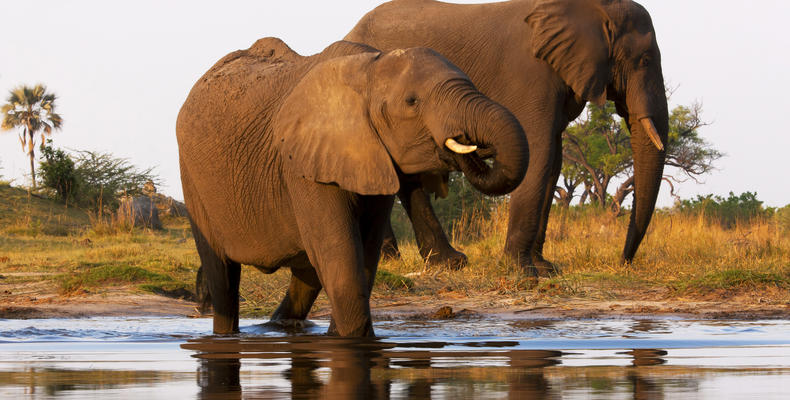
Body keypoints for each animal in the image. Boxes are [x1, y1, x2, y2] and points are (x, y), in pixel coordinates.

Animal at [176, 39, 528, 336]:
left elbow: (363, 255)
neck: (369, 68)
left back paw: (279, 328)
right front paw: (353, 341)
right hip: (192, 179)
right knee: (222, 276)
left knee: (306, 277)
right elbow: (340, 257)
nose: (468, 147)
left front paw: (341, 338)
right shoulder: (304, 165)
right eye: (412, 102)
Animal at [346, 0, 668, 274]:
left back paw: (393, 258)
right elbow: (539, 151)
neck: (593, 8)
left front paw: (545, 269)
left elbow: (553, 161)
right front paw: (522, 271)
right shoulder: (532, 75)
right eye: (645, 59)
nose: (623, 261)